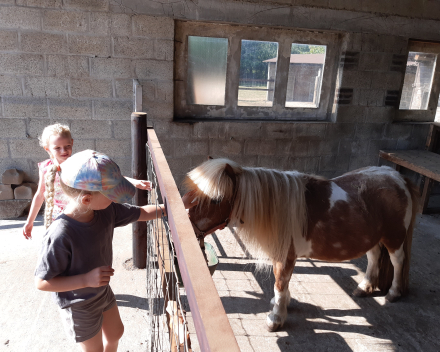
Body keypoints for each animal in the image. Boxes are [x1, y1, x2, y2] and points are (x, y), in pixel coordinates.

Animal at [182, 158, 420, 332]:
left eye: (215, 199)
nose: (187, 224)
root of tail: (397, 177)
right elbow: (283, 284)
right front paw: (282, 304)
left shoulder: (284, 256)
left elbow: (280, 283)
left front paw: (276, 318)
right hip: (373, 237)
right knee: (374, 257)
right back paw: (364, 287)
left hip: (393, 237)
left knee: (398, 260)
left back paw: (394, 293)